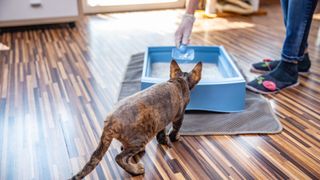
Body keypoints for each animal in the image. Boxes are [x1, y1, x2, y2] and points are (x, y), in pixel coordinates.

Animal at [72, 60, 202, 179]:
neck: (179, 79)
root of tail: (110, 122)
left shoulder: (162, 118)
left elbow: (162, 131)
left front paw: (163, 140)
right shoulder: (180, 115)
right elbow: (175, 129)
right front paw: (174, 138)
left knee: (124, 150)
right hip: (140, 139)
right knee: (119, 157)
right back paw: (136, 170)